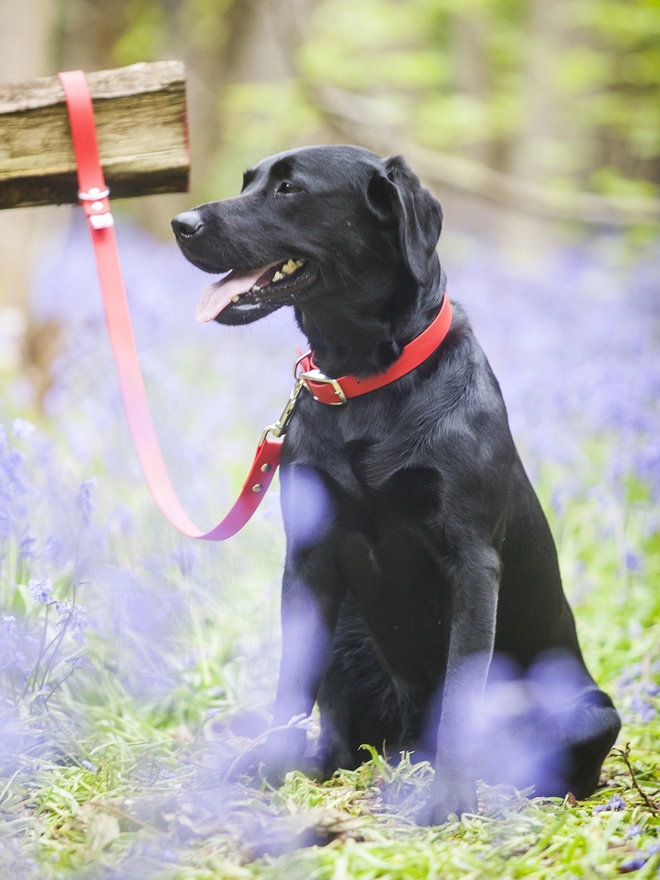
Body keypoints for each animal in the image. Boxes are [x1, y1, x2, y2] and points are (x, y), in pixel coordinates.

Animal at [173, 146, 620, 824]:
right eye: (248, 181)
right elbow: (288, 689)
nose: (181, 223)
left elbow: (462, 700)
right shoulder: (307, 562)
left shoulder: (472, 564)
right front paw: (266, 771)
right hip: (346, 642)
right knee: (342, 741)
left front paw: (451, 802)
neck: (362, 382)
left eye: (289, 188)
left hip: (591, 713)